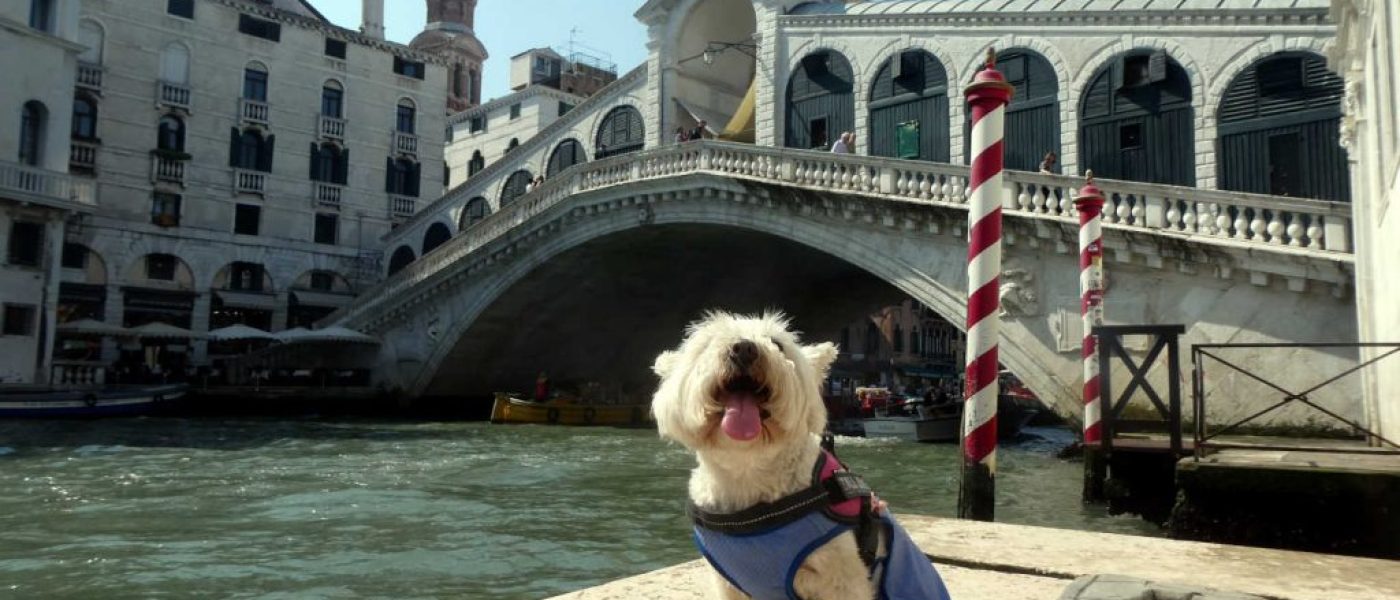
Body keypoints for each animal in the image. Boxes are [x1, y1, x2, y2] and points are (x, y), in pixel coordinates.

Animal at [655, 310, 952, 598]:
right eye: (708, 344)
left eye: (777, 344)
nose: (744, 349)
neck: (748, 469)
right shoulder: (728, 582)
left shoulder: (843, 578)